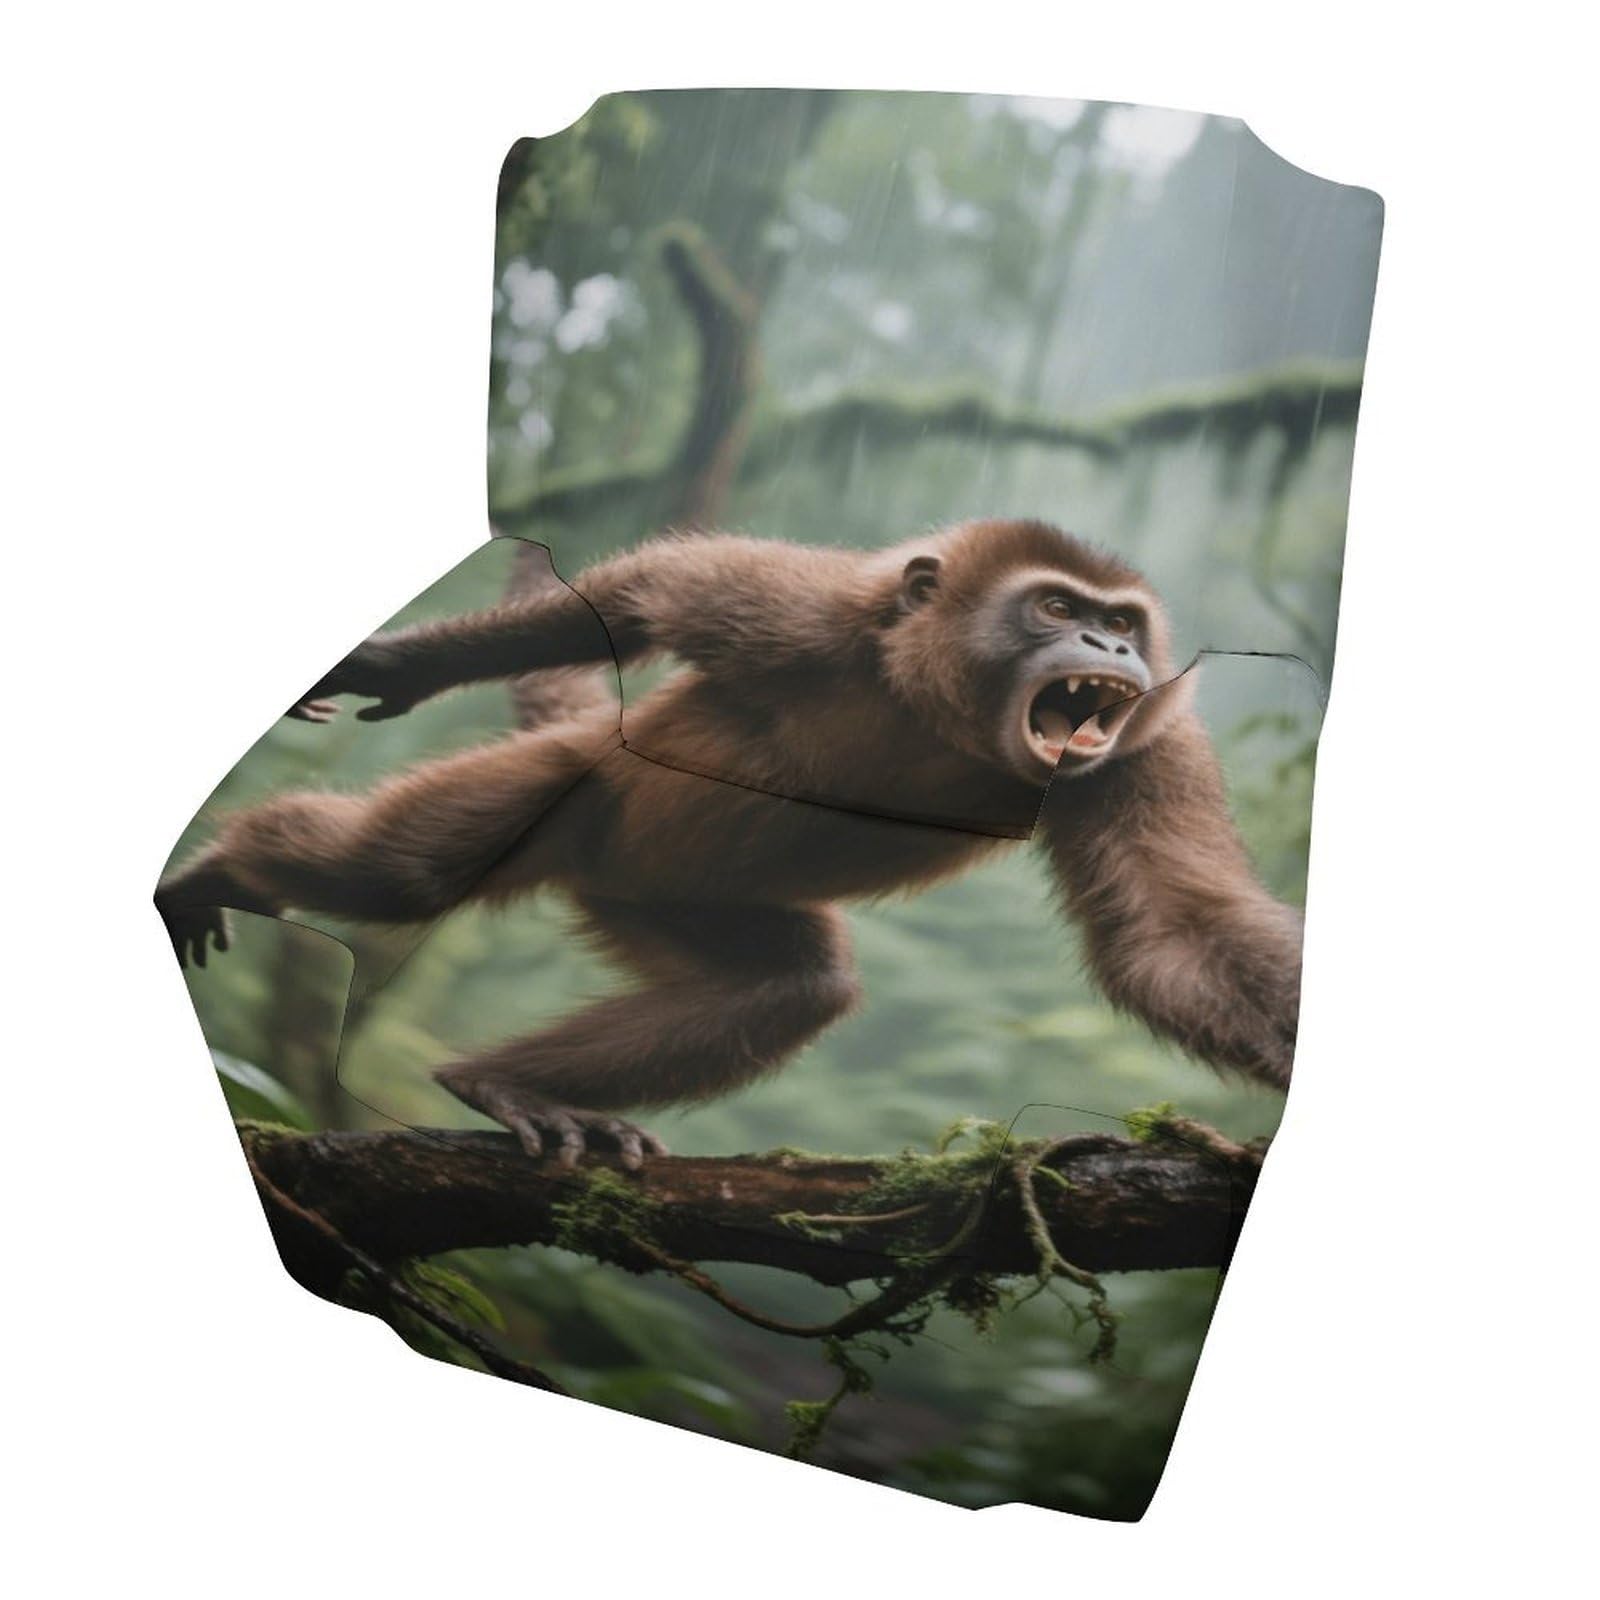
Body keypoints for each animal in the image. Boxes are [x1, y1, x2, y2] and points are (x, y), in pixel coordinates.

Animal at [158, 519, 1303, 1167]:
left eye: (1124, 623)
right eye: (1058, 606)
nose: (1108, 645)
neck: (939, 712)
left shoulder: (1148, 743)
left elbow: (1172, 935)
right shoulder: (811, 614)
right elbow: (636, 601)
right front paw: (400, 667)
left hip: (647, 894)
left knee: (792, 988)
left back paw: (500, 1085)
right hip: (576, 785)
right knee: (405, 871)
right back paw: (220, 870)